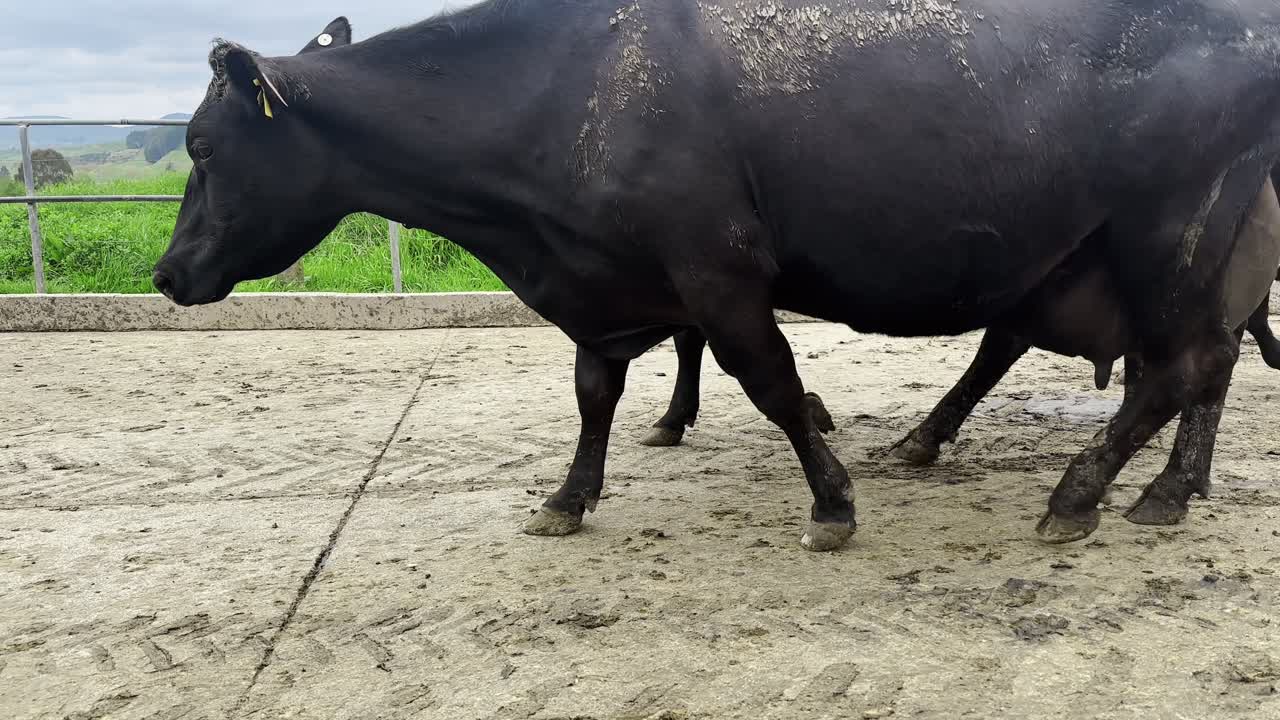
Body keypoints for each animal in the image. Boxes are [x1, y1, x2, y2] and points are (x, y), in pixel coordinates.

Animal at [153, 0, 1280, 551]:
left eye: (203, 146)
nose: (167, 273)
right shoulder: (605, 285)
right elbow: (593, 393)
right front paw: (568, 497)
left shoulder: (716, 270)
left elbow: (773, 387)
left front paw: (831, 505)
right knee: (1185, 374)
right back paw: (1158, 491)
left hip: (1167, 239)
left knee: (1176, 373)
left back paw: (1079, 494)